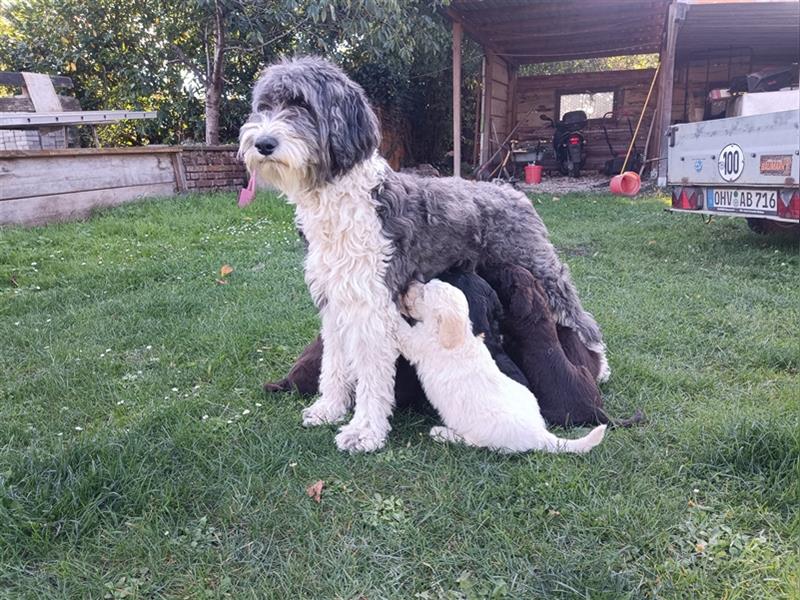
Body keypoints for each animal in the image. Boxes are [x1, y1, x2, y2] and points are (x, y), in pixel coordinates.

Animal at [400, 282, 608, 454]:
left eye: (424, 293)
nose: (408, 285)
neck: (458, 334)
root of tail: (540, 434)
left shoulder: (418, 343)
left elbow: (403, 333)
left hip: (483, 435)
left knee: (473, 443)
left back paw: (441, 433)